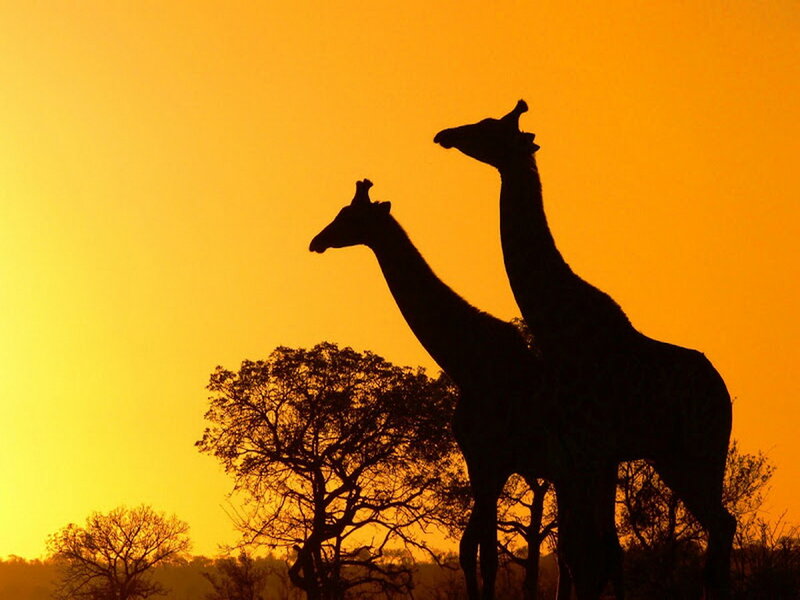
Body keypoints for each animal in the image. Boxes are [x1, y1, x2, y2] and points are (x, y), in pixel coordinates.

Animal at [309, 179, 610, 600]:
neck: (466, 363)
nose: (317, 241)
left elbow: (487, 555)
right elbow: (471, 550)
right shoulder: (477, 461)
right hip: (574, 478)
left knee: (589, 555)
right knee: (581, 556)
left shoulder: (493, 460)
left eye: (349, 215)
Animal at [434, 101, 736, 599]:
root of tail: (724, 393)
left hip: (699, 449)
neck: (559, 328)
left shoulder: (588, 450)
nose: (446, 135)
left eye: (489, 127)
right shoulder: (587, 455)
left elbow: (589, 557)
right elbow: (589, 554)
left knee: (721, 525)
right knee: (722, 526)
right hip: (672, 455)